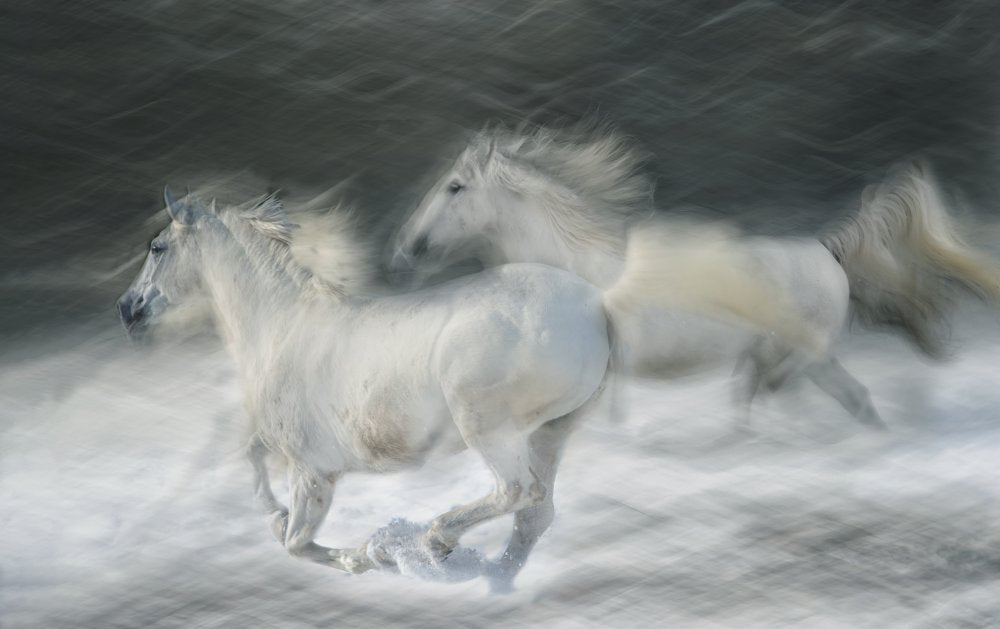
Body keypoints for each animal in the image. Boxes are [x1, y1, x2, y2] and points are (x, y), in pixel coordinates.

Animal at [116, 187, 820, 591]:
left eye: (156, 246)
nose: (128, 310)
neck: (284, 327)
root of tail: (596, 305)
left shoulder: (316, 472)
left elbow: (296, 543)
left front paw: (367, 558)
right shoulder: (282, 452)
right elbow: (256, 474)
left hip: (489, 424)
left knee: (515, 493)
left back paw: (437, 543)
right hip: (553, 430)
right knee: (537, 510)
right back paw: (490, 578)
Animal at [389, 126, 1000, 430]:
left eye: (455, 187)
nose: (406, 249)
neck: (576, 273)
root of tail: (828, 252)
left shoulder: (604, 377)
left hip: (810, 348)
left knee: (795, 381)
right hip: (811, 361)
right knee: (850, 401)